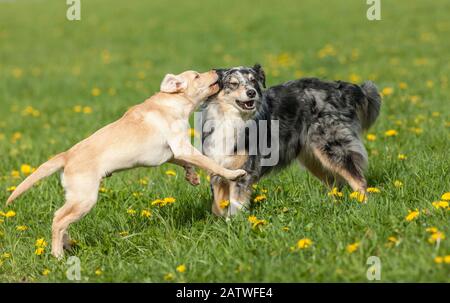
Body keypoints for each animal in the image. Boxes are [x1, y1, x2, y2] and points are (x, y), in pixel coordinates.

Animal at [6, 70, 246, 258]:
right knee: (58, 219)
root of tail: (66, 155)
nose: (216, 71)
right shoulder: (181, 146)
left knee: (62, 218)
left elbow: (187, 163)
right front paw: (233, 174)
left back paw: (66, 244)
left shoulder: (172, 153)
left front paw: (192, 176)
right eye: (196, 76)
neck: (173, 102)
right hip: (85, 197)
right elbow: (210, 163)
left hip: (75, 197)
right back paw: (57, 254)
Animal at [200, 64, 380, 216]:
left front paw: (234, 225)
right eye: (233, 83)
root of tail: (339, 89)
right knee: (336, 183)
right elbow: (217, 205)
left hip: (332, 146)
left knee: (358, 179)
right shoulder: (218, 170)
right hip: (313, 159)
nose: (252, 92)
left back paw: (366, 207)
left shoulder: (244, 171)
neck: (230, 119)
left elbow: (235, 205)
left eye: (253, 81)